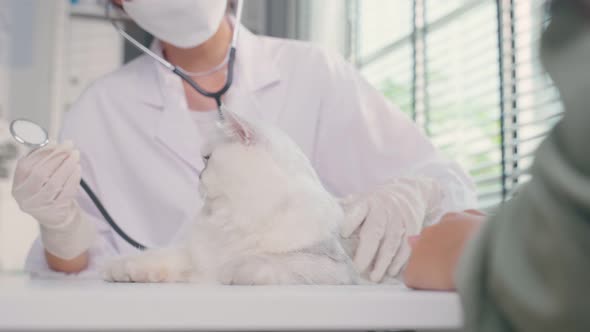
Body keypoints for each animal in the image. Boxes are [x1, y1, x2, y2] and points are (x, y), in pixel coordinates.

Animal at [102, 111, 358, 286]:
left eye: (207, 159)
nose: (198, 175)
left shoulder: (332, 266)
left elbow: (267, 261)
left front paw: (233, 271)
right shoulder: (194, 256)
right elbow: (158, 257)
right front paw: (121, 269)